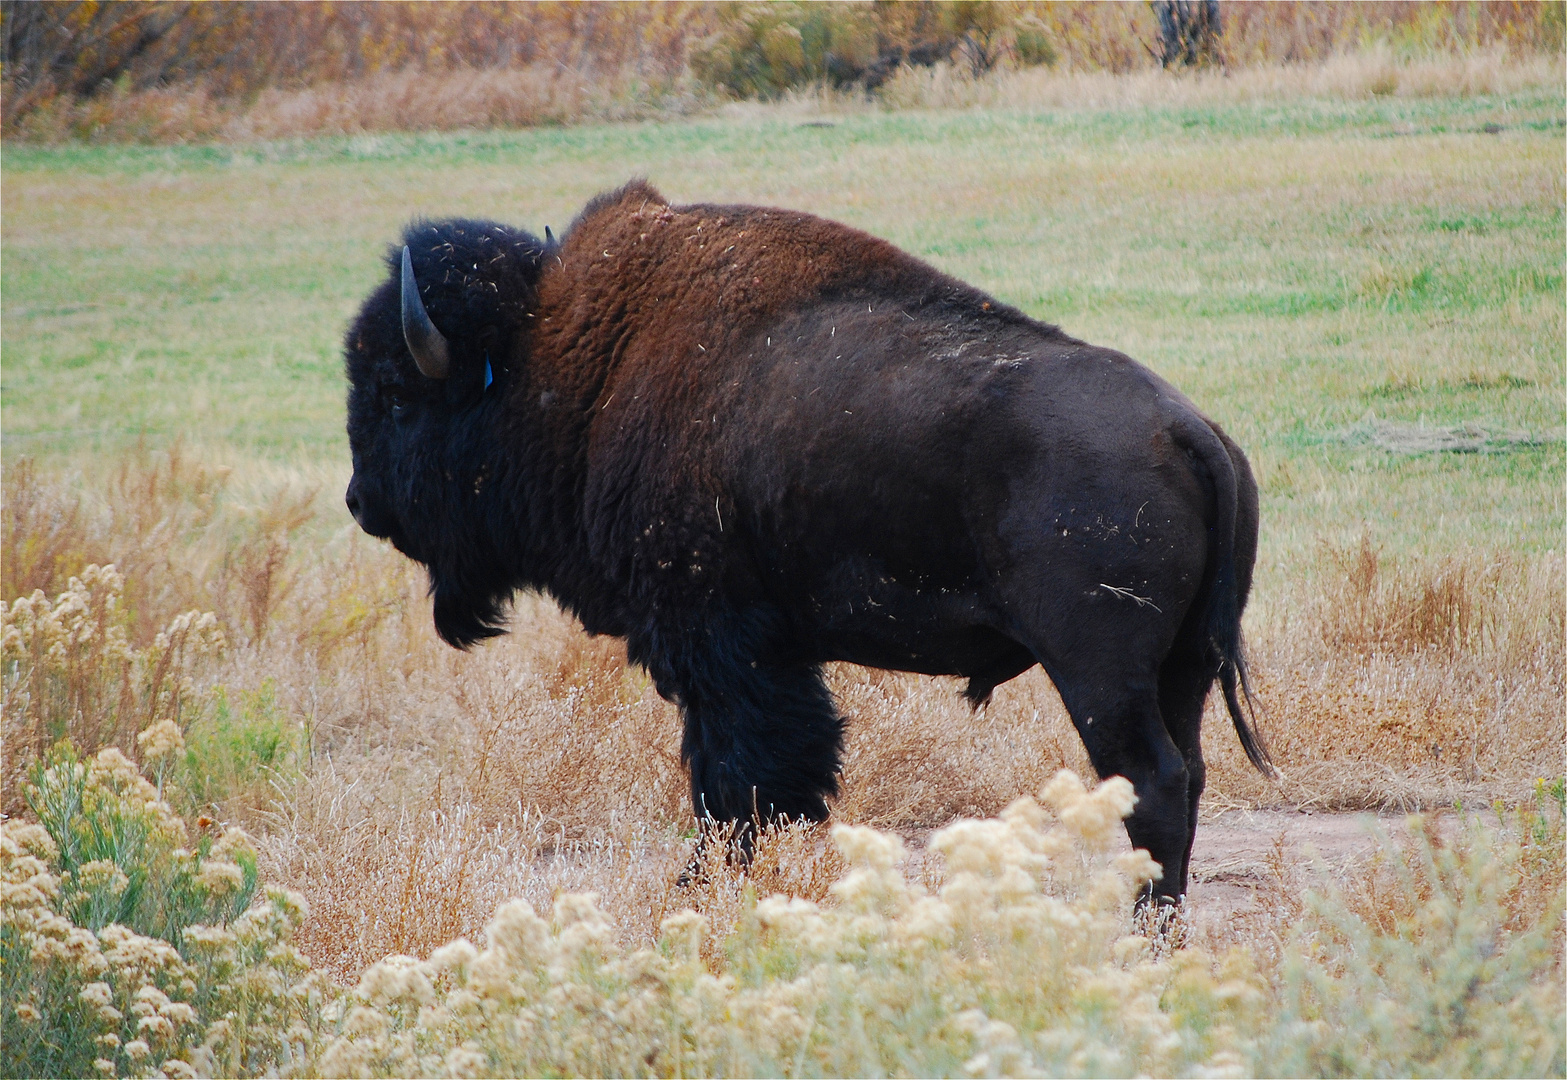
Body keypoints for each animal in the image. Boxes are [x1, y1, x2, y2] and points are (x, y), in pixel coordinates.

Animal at [346, 178, 1272, 902]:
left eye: (395, 395)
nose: (361, 503)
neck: (572, 361)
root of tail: (1190, 432)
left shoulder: (718, 650)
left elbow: (737, 781)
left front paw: (697, 888)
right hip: (1182, 667)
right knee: (1188, 775)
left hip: (1098, 671)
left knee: (1151, 782)